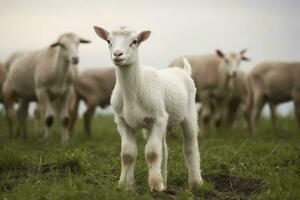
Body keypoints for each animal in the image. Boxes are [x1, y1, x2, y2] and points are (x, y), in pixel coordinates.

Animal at [94, 25, 202, 191]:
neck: (132, 94)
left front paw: (155, 185)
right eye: (108, 41)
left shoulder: (158, 118)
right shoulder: (122, 122)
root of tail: (183, 71)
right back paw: (165, 180)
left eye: (134, 41)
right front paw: (125, 185)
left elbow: (152, 153)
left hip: (188, 115)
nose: (117, 54)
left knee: (190, 147)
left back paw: (196, 183)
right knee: (164, 149)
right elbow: (128, 154)